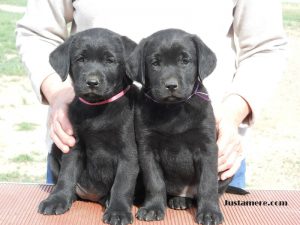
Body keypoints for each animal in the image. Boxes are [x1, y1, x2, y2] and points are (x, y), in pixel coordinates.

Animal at [37, 28, 139, 225]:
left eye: (110, 60)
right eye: (80, 59)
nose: (92, 82)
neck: (97, 108)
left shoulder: (128, 153)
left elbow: (123, 184)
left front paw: (118, 211)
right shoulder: (73, 145)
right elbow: (66, 175)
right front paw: (57, 199)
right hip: (55, 151)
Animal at [126, 28, 232, 225]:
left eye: (185, 60)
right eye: (155, 63)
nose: (171, 85)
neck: (173, 109)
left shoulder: (208, 147)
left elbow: (207, 183)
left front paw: (210, 212)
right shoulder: (147, 148)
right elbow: (155, 181)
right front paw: (153, 208)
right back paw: (177, 200)